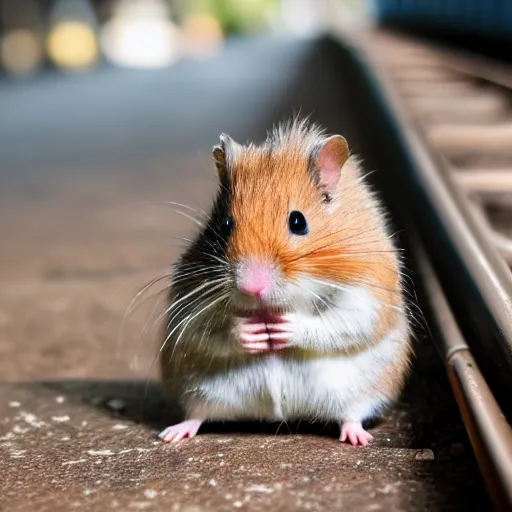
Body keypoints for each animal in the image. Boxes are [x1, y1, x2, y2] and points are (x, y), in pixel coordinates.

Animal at [158, 119, 410, 444]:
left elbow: (338, 323)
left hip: (358, 392)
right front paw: (255, 332)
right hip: (198, 392)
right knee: (198, 413)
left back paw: (359, 439)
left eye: (298, 222)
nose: (251, 287)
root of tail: (276, 416)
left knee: (351, 414)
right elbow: (208, 330)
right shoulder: (187, 304)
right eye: (225, 226)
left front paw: (280, 329)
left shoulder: (366, 293)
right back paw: (171, 434)